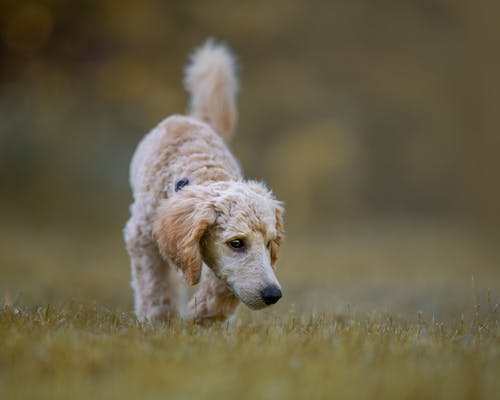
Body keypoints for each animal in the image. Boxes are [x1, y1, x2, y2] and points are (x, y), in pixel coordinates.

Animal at [123, 39, 284, 324]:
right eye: (236, 243)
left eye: (268, 244)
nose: (272, 294)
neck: (201, 169)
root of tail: (196, 120)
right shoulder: (142, 237)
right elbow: (155, 286)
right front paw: (159, 321)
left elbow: (221, 285)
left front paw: (207, 318)